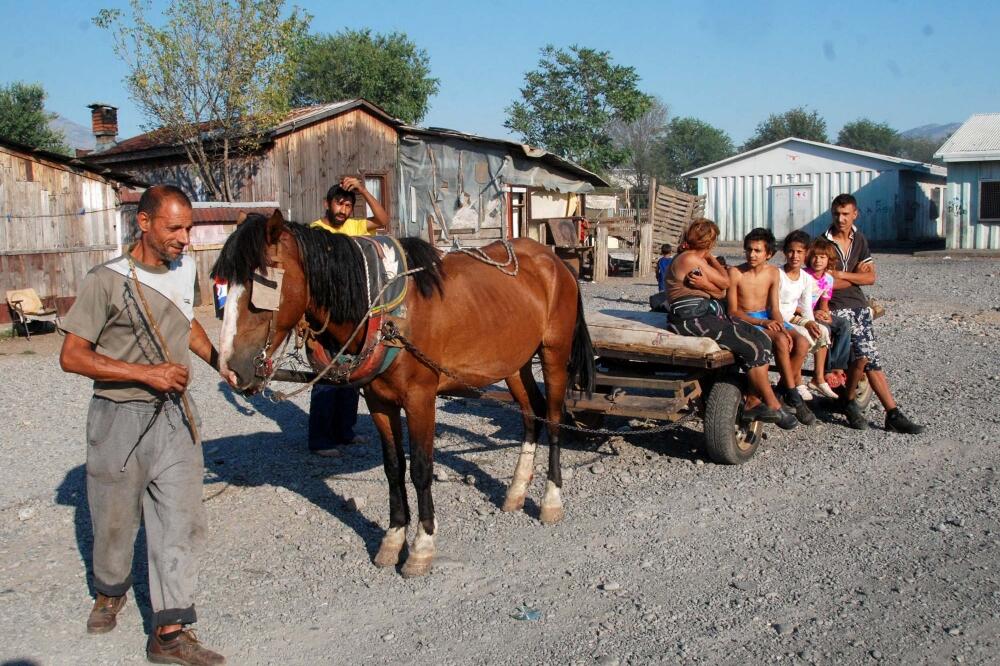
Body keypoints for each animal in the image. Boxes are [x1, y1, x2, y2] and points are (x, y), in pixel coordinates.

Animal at [213, 210, 592, 572]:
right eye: (224, 283)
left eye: (264, 281)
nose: (230, 368)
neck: (384, 312)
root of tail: (553, 261)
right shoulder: (378, 400)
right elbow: (393, 468)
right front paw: (393, 539)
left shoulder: (420, 399)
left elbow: (420, 469)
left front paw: (421, 547)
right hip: (514, 361)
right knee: (532, 414)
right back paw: (515, 491)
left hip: (554, 354)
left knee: (553, 418)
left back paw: (550, 500)